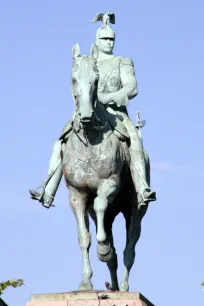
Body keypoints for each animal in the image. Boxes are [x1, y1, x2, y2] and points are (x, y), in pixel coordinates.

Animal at [61, 42, 149, 290]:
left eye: (96, 79)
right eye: (73, 79)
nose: (86, 115)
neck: (90, 141)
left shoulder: (109, 183)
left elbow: (100, 204)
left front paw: (103, 249)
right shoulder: (77, 194)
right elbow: (84, 238)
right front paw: (85, 282)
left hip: (134, 210)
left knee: (130, 249)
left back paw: (125, 286)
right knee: (115, 256)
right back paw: (115, 285)